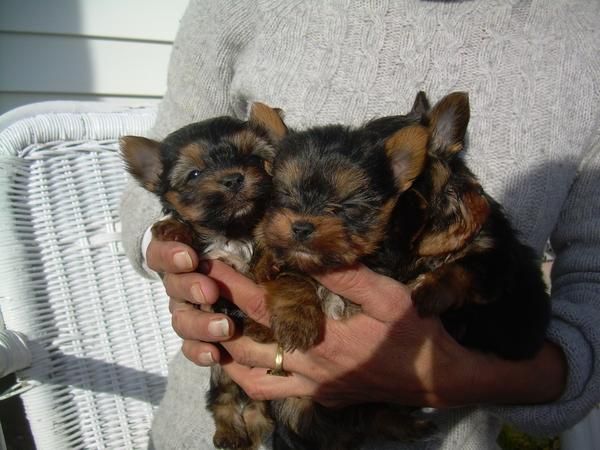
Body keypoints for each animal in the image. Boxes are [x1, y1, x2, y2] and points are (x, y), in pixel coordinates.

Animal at [118, 102, 288, 450]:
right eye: (194, 174)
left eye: (253, 158)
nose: (233, 178)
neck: (231, 230)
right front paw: (171, 229)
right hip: (221, 375)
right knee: (223, 403)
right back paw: (229, 433)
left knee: (256, 404)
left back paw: (260, 425)